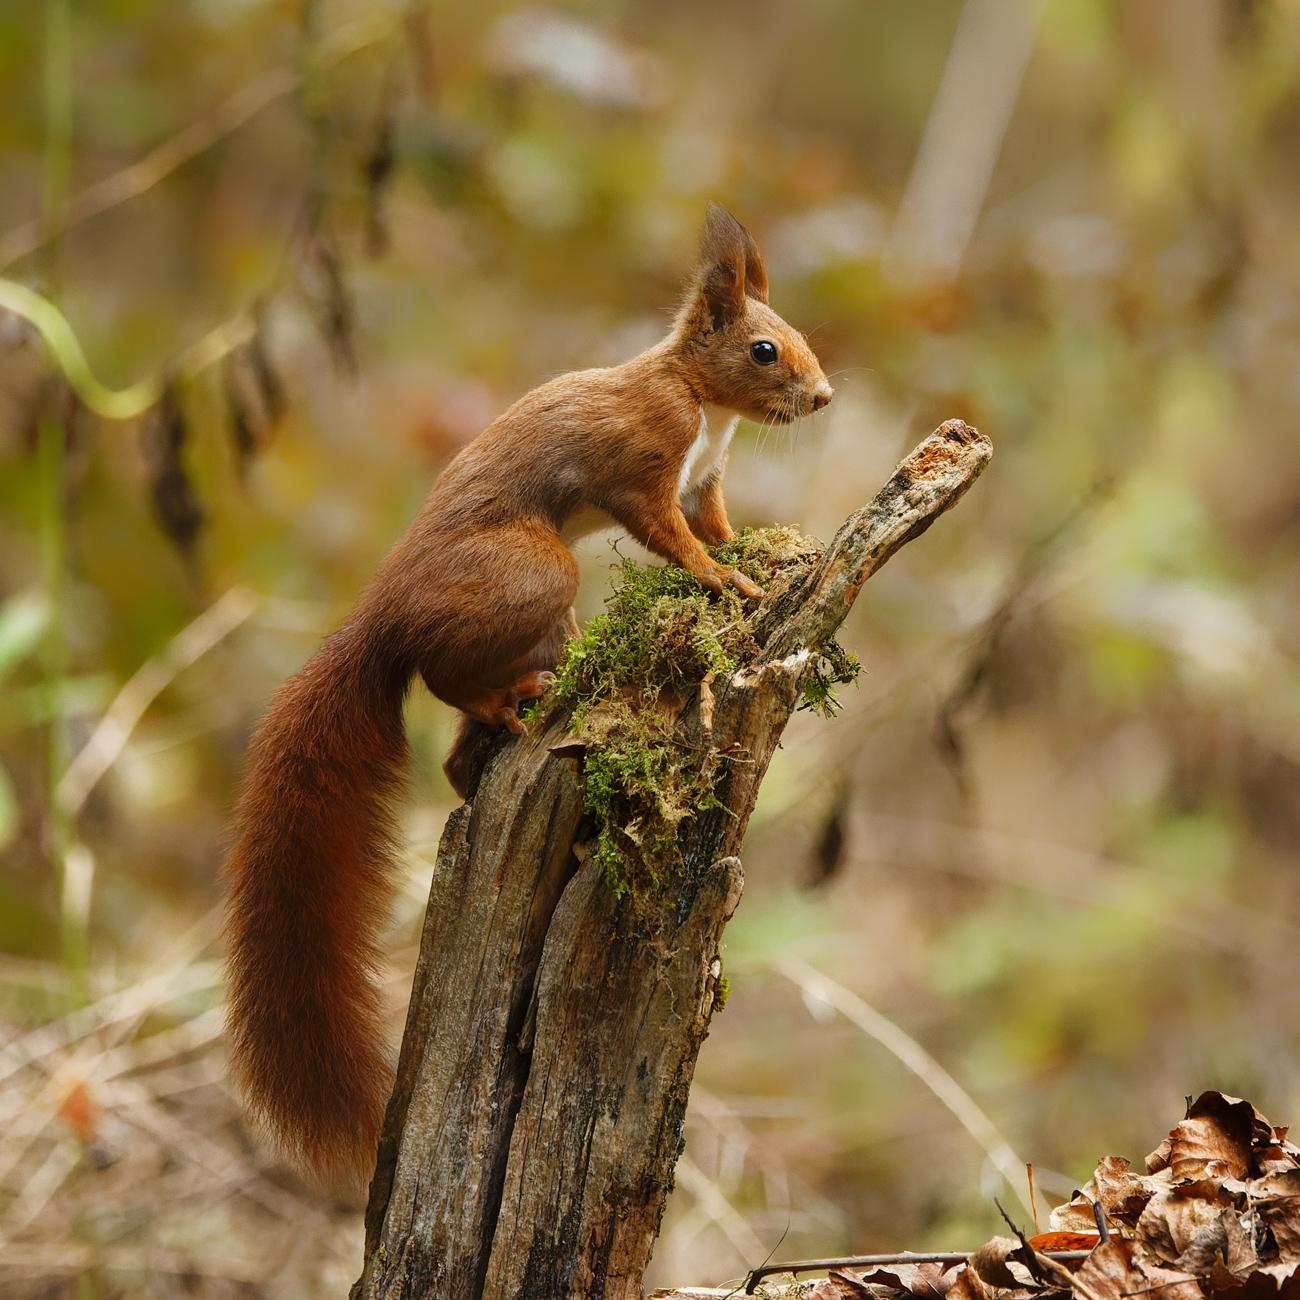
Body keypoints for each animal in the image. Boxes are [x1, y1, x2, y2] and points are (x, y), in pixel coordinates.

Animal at [223, 204, 834, 1191]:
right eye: (765, 349)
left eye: (797, 337)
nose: (822, 396)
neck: (699, 403)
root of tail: (381, 620)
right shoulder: (642, 467)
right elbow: (671, 535)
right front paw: (726, 584)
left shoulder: (705, 478)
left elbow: (713, 524)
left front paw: (753, 557)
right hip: (537, 572)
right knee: (444, 676)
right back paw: (511, 702)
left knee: (450, 745)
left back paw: (508, 717)